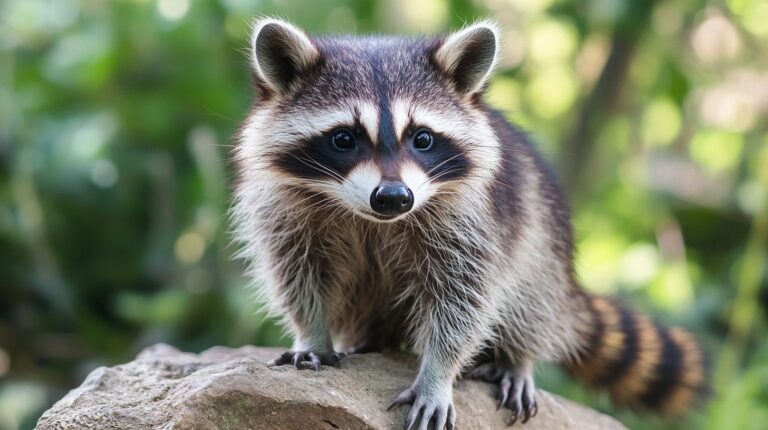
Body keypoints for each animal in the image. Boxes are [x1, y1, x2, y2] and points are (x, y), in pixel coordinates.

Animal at [232, 18, 707, 429]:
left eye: (422, 138)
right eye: (343, 139)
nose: (394, 198)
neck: (371, 217)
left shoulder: (471, 218)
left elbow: (464, 299)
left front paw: (437, 375)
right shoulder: (285, 209)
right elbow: (298, 273)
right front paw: (312, 335)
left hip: (545, 241)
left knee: (531, 293)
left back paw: (517, 358)